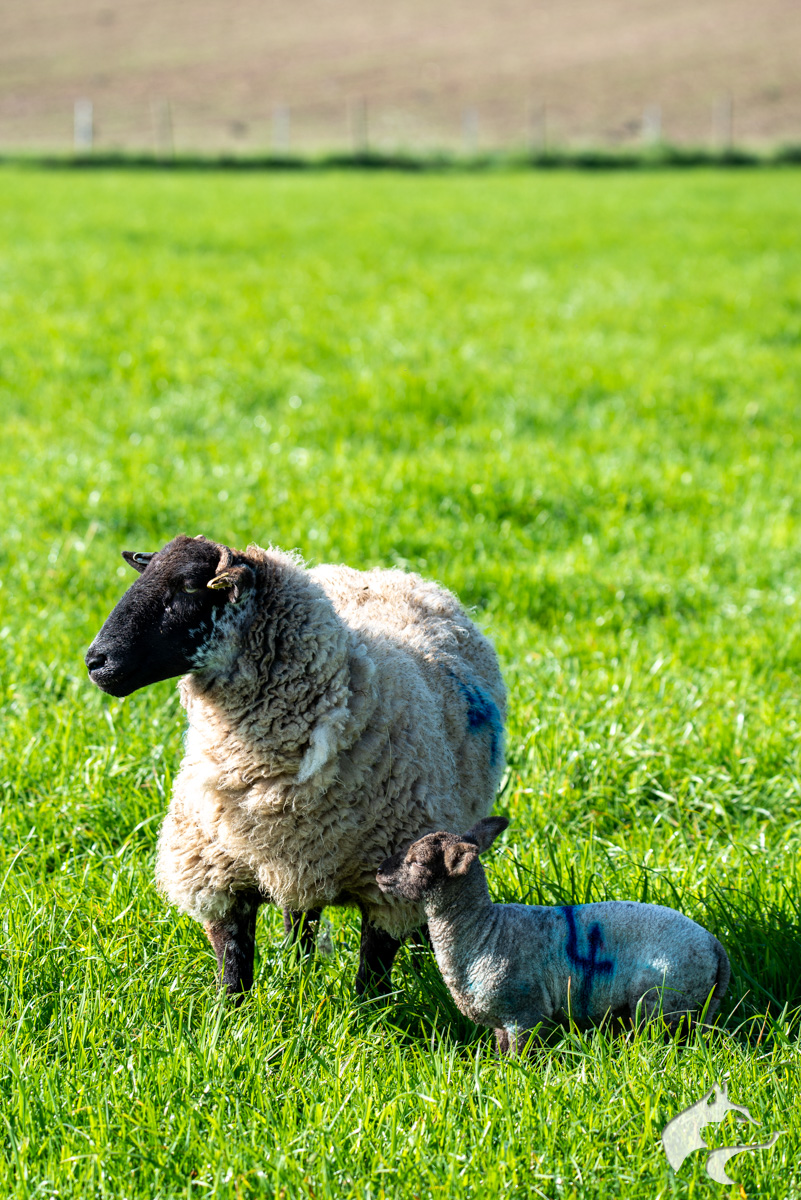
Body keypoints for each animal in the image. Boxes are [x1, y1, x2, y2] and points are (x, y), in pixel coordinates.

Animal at [84, 540, 503, 998]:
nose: (95, 661)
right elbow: (233, 970)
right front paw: (228, 1015)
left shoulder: (388, 885)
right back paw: (297, 967)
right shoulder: (216, 874)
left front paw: (367, 1012)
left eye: (192, 585)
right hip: (295, 861)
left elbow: (372, 974)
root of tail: (387, 573)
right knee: (301, 917)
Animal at [376, 816, 733, 1051]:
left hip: (661, 1000)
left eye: (419, 862)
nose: (379, 872)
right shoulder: (502, 1022)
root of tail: (714, 946)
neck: (483, 932)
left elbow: (520, 1059)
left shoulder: (525, 1014)